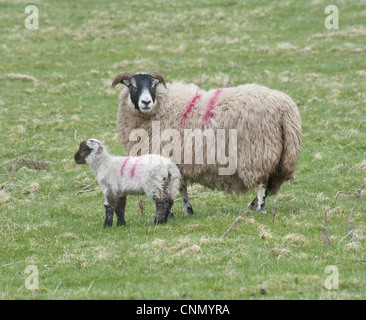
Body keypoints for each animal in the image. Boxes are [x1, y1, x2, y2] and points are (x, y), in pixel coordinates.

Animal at [110, 72, 302, 215]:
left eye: (154, 85)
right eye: (132, 86)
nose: (146, 102)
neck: (163, 107)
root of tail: (285, 108)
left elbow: (174, 187)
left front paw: (173, 212)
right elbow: (181, 186)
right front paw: (186, 210)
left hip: (259, 150)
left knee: (263, 182)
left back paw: (259, 208)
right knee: (270, 183)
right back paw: (253, 205)